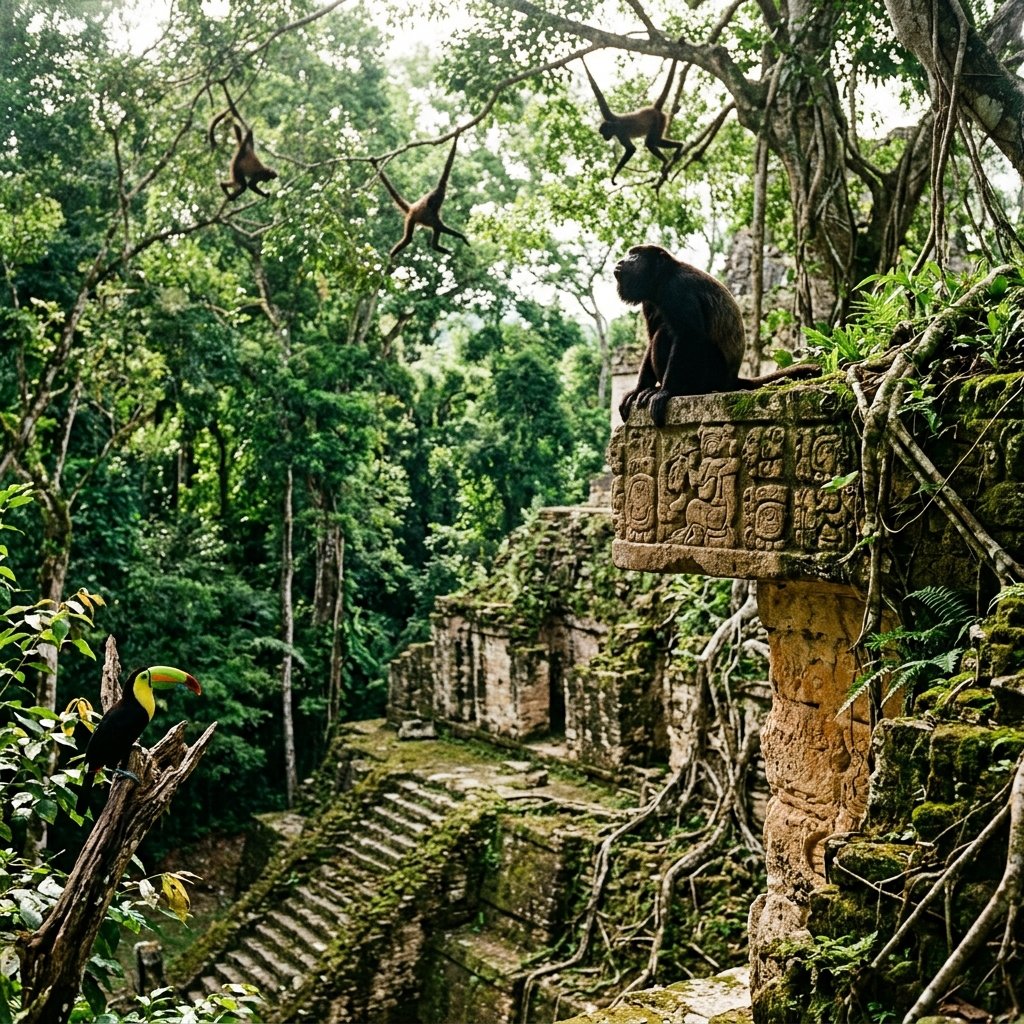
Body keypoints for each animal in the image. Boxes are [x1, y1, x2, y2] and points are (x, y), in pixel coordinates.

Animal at [615, 245, 821, 427]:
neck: (661, 280)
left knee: (667, 333)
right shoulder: (649, 301)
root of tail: (730, 379)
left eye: (634, 256)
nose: (621, 261)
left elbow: (688, 336)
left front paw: (665, 391)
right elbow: (651, 340)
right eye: (629, 254)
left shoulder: (677, 290)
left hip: (711, 371)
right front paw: (638, 390)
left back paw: (681, 389)